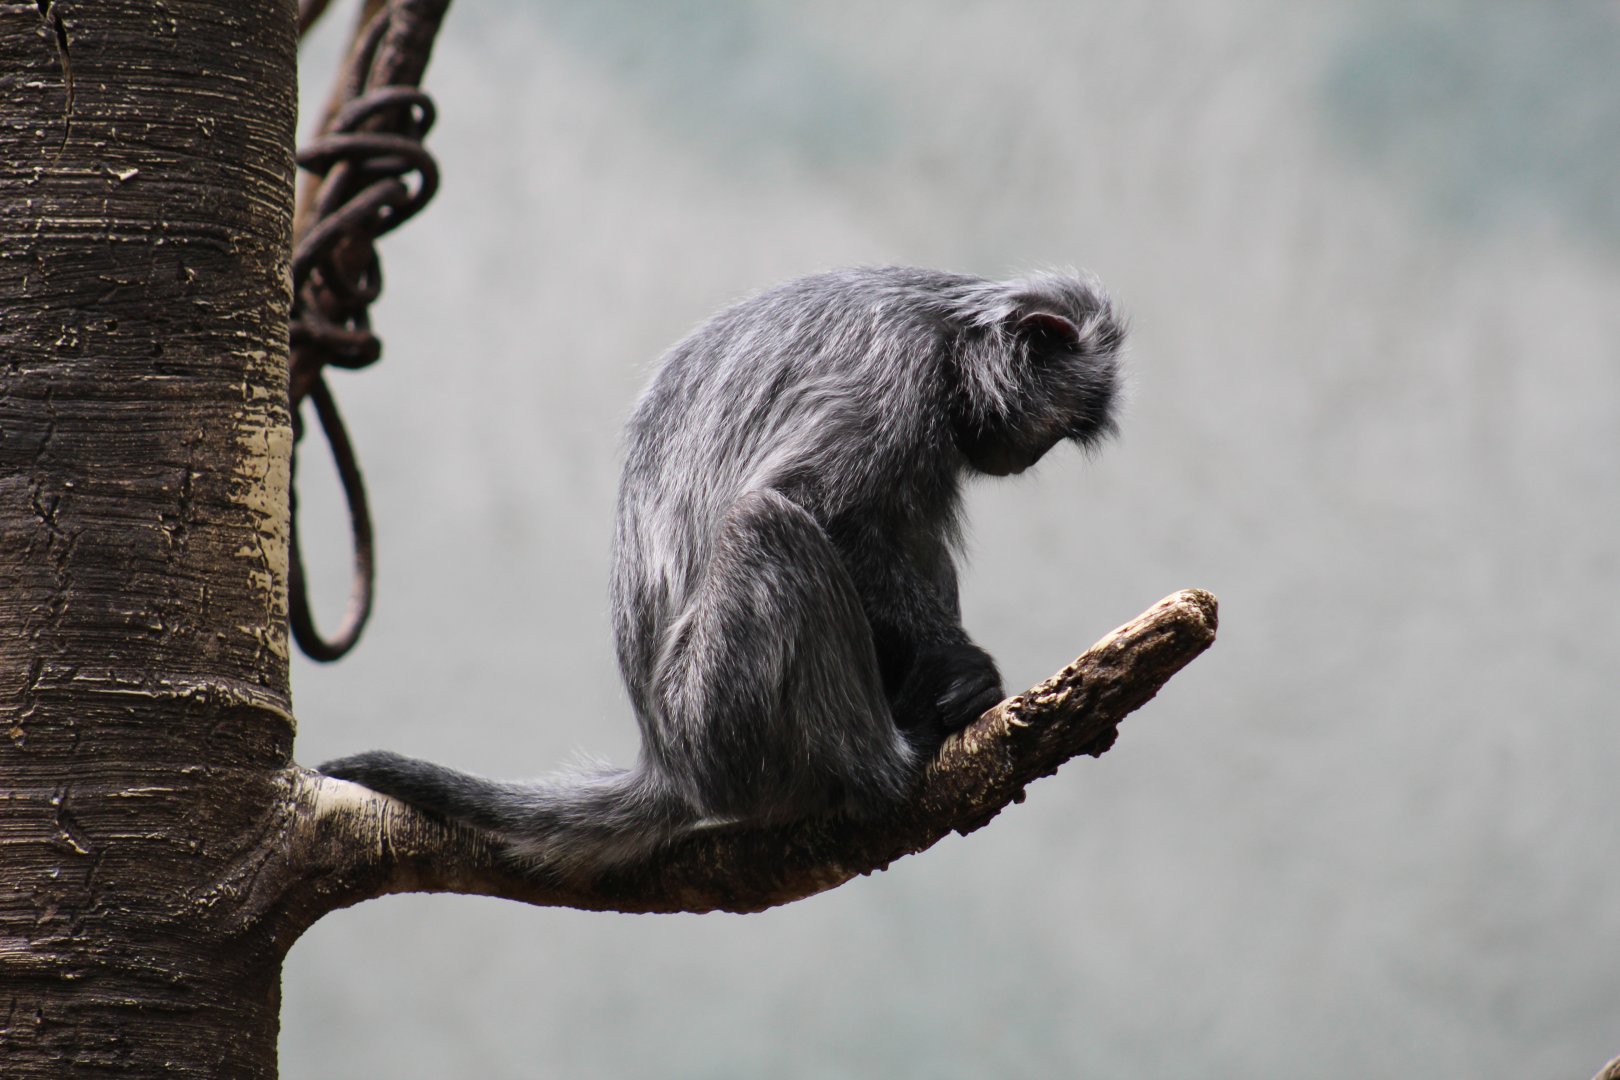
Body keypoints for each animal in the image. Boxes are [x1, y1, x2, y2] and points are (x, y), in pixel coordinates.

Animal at [320, 266, 1123, 877]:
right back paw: (887, 768)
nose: (1032, 455)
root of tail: (667, 759)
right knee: (765, 526)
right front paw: (960, 667)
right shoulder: (894, 378)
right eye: (1056, 429)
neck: (947, 329)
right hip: (719, 719)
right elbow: (810, 505)